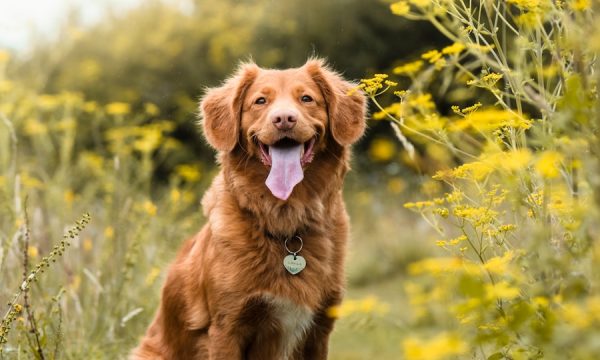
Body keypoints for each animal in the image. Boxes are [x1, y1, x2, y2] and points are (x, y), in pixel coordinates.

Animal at [132, 59, 366, 360]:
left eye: (306, 98)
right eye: (260, 101)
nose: (284, 119)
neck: (286, 220)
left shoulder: (319, 329)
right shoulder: (227, 328)